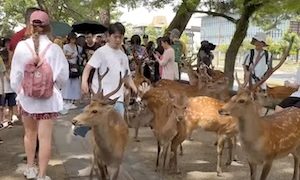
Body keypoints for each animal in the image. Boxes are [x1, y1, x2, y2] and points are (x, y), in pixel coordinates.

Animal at [218, 37, 300, 179]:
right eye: (233, 97)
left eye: (242, 100)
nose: (221, 110)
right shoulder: (251, 160)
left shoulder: (270, 157)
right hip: (293, 147)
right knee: (296, 159)